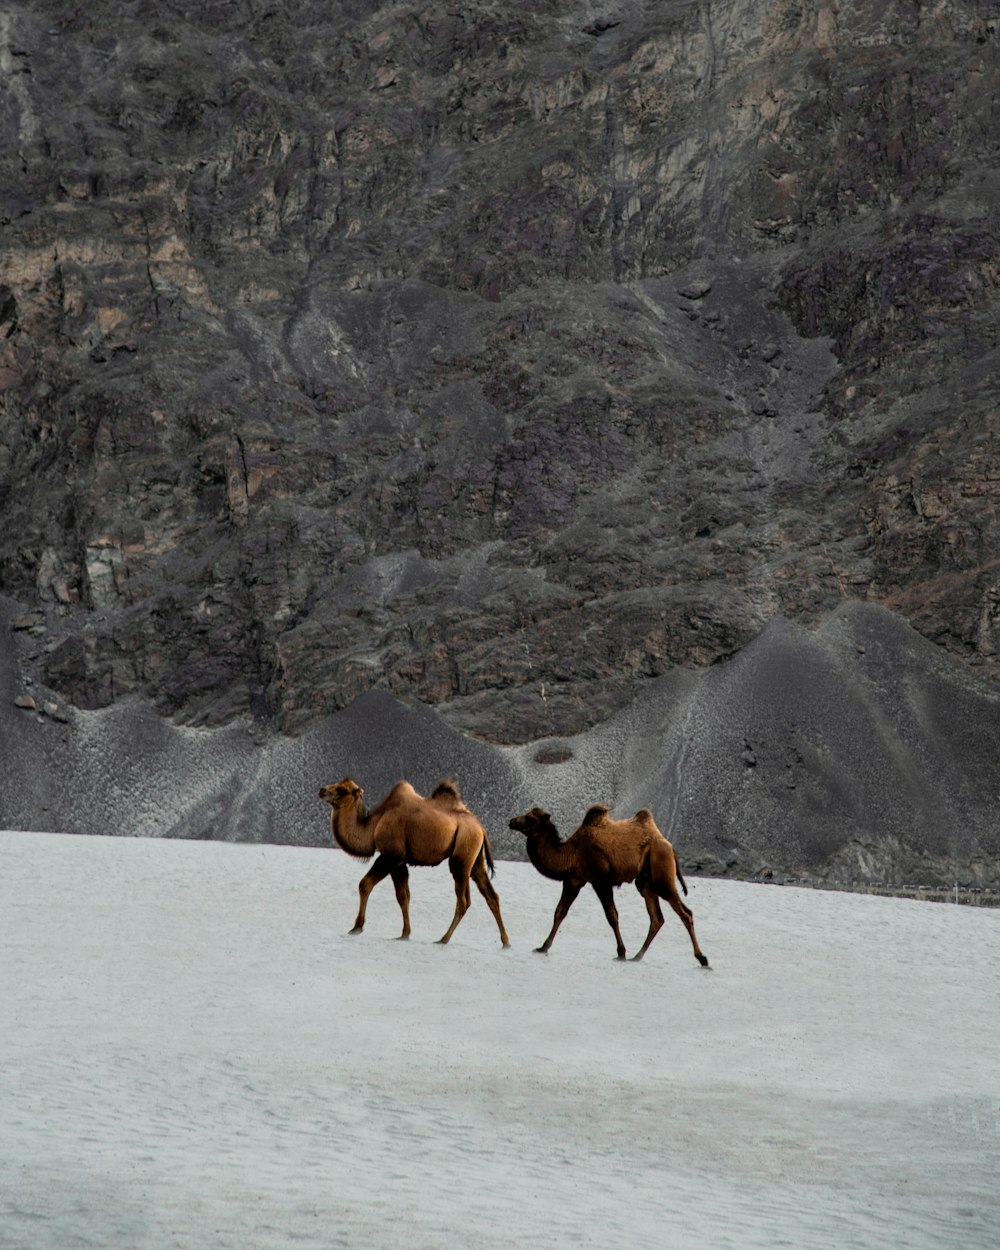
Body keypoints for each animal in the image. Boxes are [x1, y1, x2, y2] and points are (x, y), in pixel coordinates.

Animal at [318, 770, 507, 945]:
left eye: (341, 790)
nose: (322, 790)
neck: (373, 826)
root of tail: (481, 828)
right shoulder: (399, 862)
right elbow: (403, 896)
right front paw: (404, 934)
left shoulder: (391, 855)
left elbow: (365, 884)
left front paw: (356, 927)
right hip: (476, 859)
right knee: (491, 895)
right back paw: (506, 942)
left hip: (462, 856)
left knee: (463, 900)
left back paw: (443, 939)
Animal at [507, 800, 710, 965]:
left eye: (530, 818)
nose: (512, 821)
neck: (571, 853)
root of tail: (669, 846)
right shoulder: (574, 879)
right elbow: (560, 911)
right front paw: (542, 947)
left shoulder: (600, 880)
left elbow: (612, 915)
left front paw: (621, 953)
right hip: (645, 881)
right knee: (657, 918)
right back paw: (637, 956)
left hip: (661, 874)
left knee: (685, 913)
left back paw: (702, 958)